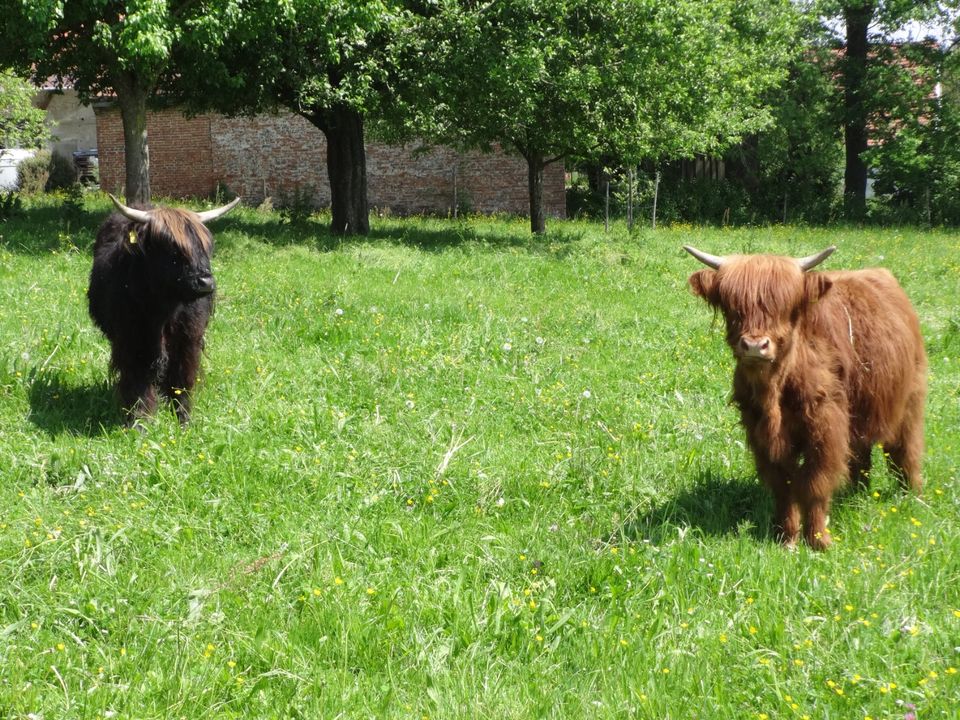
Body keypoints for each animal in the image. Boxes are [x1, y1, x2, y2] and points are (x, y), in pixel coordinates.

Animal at [88, 194, 240, 424]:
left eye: (205, 247)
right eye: (172, 248)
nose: (205, 282)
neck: (164, 310)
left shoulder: (189, 341)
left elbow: (181, 380)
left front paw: (183, 419)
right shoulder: (132, 342)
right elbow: (138, 384)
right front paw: (140, 422)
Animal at [688, 245, 928, 548]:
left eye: (785, 307)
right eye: (733, 306)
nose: (754, 345)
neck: (775, 391)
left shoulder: (825, 428)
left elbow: (815, 483)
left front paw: (818, 540)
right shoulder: (761, 433)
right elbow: (783, 485)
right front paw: (786, 537)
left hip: (910, 400)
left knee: (905, 450)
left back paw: (912, 496)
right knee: (860, 455)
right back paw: (856, 492)